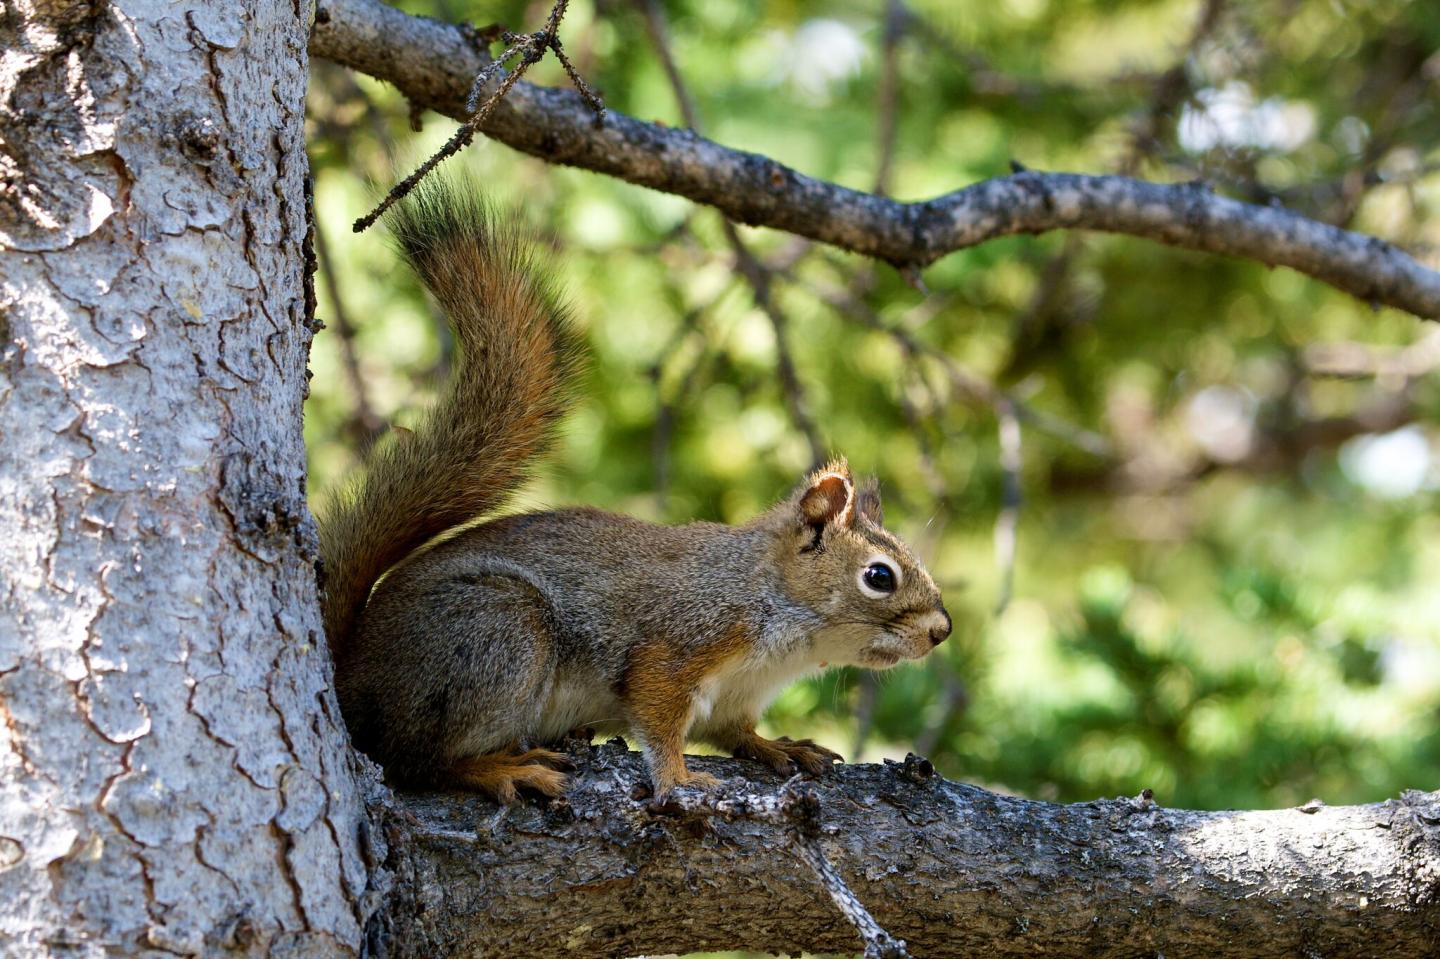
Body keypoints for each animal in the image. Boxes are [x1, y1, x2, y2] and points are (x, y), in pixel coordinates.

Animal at [324, 177, 956, 800]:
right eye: (879, 577)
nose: (941, 631)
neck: (781, 618)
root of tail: (351, 675)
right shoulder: (679, 642)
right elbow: (658, 717)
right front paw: (677, 778)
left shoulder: (737, 694)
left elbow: (734, 732)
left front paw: (780, 746)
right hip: (495, 636)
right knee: (415, 758)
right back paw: (501, 769)